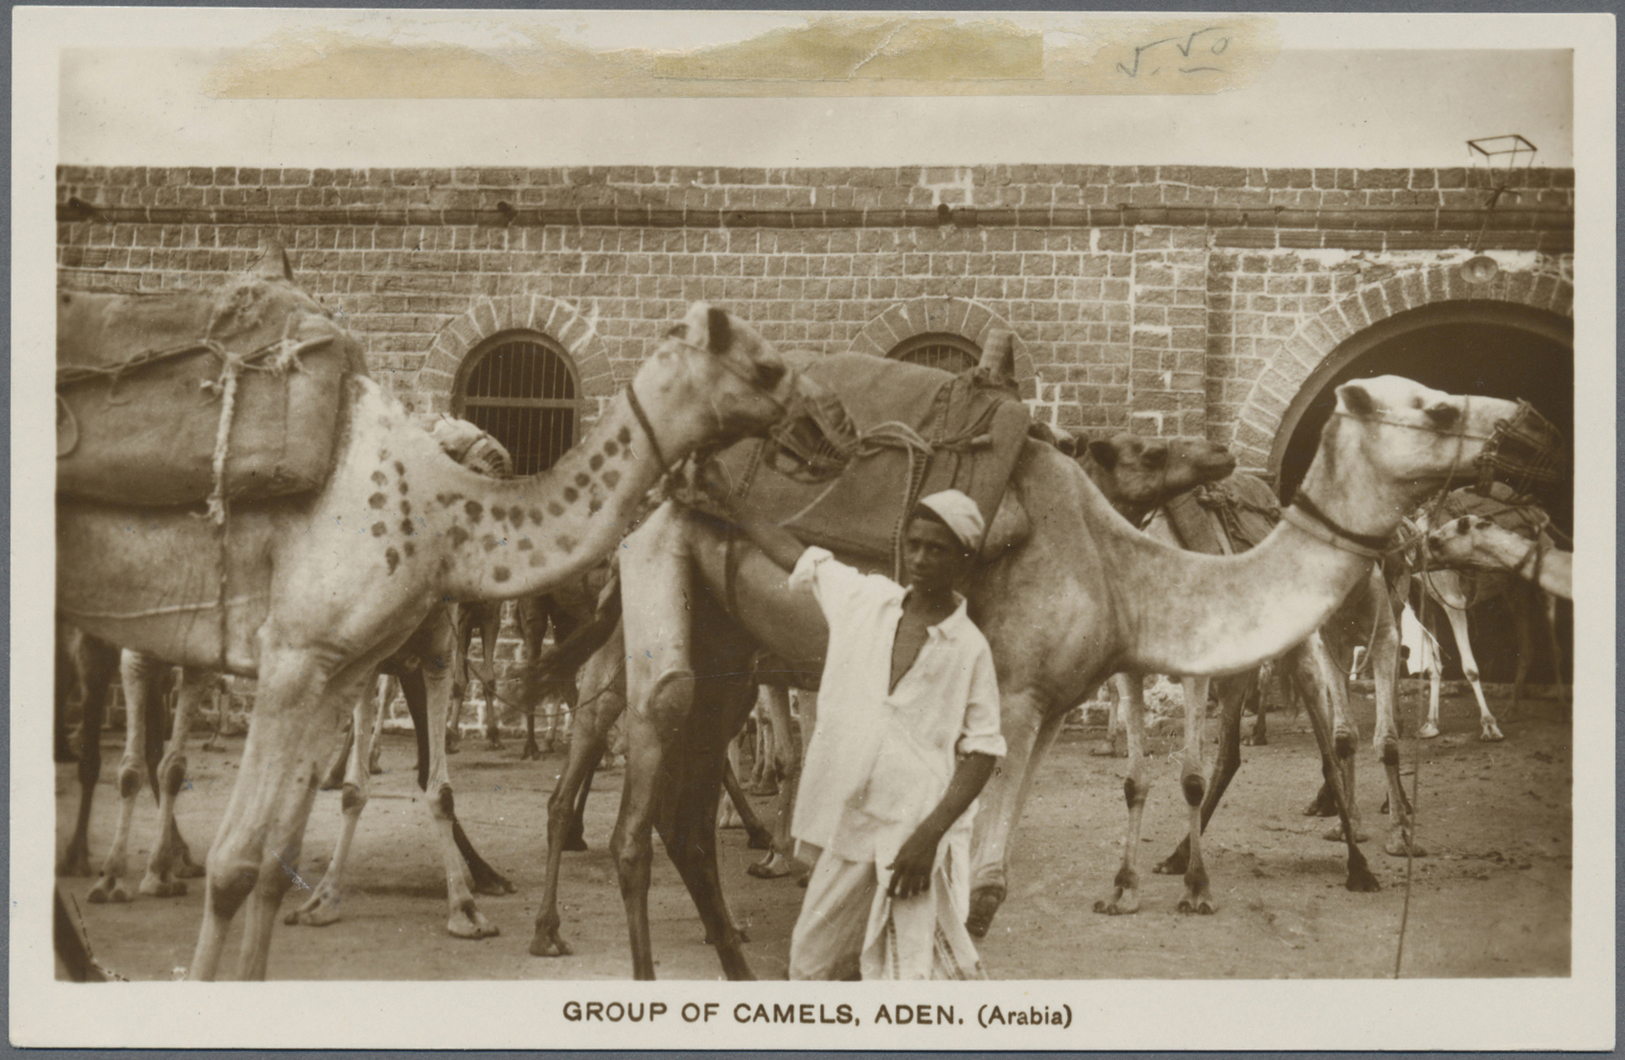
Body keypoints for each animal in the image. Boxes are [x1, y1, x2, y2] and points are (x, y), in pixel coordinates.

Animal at [58, 260, 812, 981]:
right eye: (767, 368)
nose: (816, 423)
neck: (437, 509)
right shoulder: (298, 656)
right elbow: (240, 861)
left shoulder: (353, 665)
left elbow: (288, 853)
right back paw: (122, 879)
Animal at [529, 369, 1521, 981]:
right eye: (1433, 409)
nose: (1523, 422)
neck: (1117, 565)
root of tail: (656, 505)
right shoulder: (1007, 696)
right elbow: (953, 876)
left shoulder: (1039, 704)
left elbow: (988, 885)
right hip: (659, 624)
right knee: (635, 814)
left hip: (728, 647)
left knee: (686, 814)